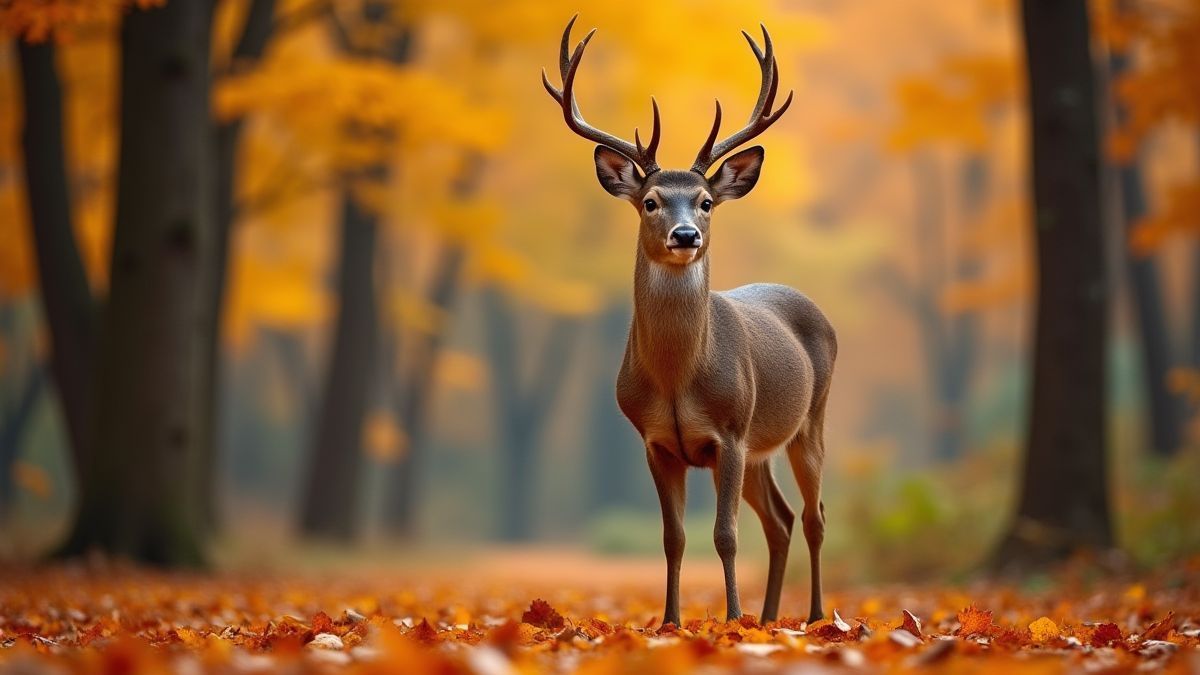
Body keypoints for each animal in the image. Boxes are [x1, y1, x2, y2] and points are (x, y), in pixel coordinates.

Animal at [543, 16, 837, 626]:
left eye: (704, 201)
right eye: (651, 201)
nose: (686, 236)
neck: (679, 377)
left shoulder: (729, 431)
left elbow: (724, 535)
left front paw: (729, 618)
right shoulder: (655, 441)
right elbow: (673, 537)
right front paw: (671, 621)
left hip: (808, 419)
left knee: (815, 514)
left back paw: (816, 617)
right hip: (761, 447)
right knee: (781, 520)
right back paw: (769, 618)